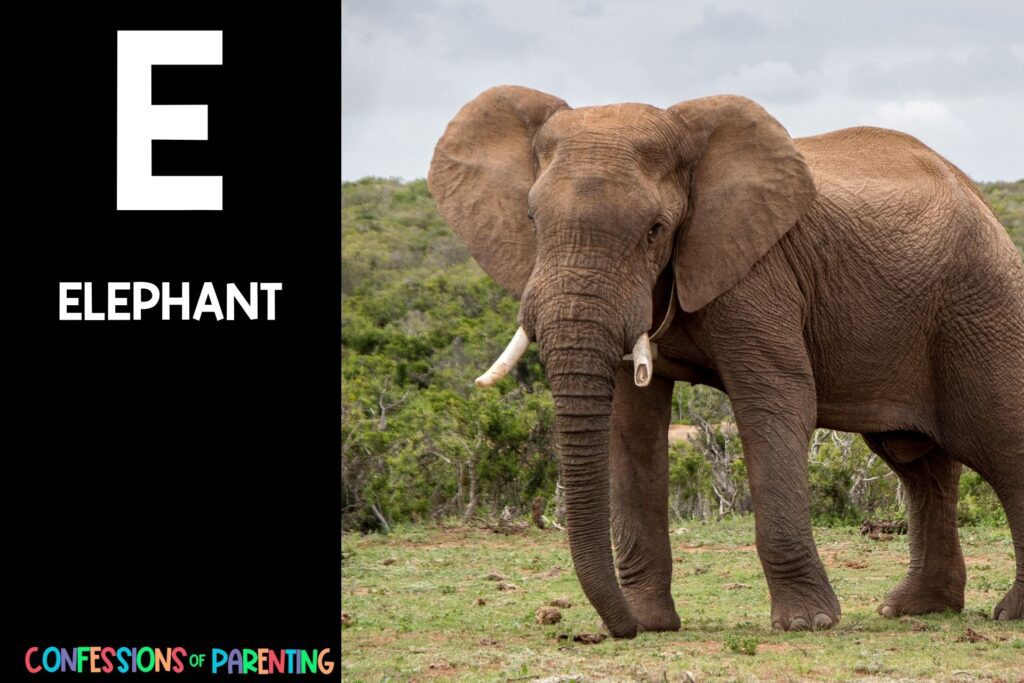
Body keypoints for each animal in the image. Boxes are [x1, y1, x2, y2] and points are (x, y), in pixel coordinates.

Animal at [427, 85, 1024, 637]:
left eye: (655, 230)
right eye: (531, 219)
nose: (615, 629)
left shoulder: (759, 271)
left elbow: (775, 402)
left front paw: (806, 624)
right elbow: (631, 424)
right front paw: (651, 623)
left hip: (981, 306)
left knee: (999, 443)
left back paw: (1007, 613)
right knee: (918, 462)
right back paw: (915, 610)